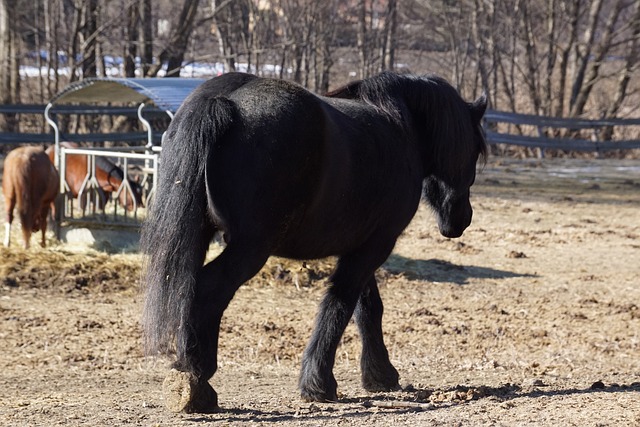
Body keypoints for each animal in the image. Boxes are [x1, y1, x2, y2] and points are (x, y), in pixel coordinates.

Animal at [141, 71, 484, 414]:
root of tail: (225, 100)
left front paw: (379, 374)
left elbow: (367, 309)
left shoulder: (359, 246)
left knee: (186, 286)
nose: (460, 219)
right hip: (250, 248)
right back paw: (196, 381)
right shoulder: (377, 244)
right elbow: (340, 305)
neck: (401, 129)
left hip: (201, 235)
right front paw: (318, 382)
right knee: (208, 290)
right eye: (477, 149)